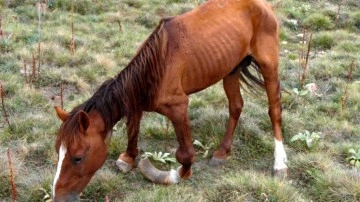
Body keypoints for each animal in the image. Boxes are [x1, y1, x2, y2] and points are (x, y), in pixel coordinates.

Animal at [52, 0, 286, 200]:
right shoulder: (135, 102)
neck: (155, 68)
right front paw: (128, 158)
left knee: (274, 110)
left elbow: (186, 155)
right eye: (58, 152)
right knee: (236, 107)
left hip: (269, 65)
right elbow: (133, 130)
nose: (58, 197)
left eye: (78, 157)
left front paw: (172, 175)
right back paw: (222, 152)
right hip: (231, 69)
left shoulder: (178, 107)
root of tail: (263, 5)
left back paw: (280, 163)